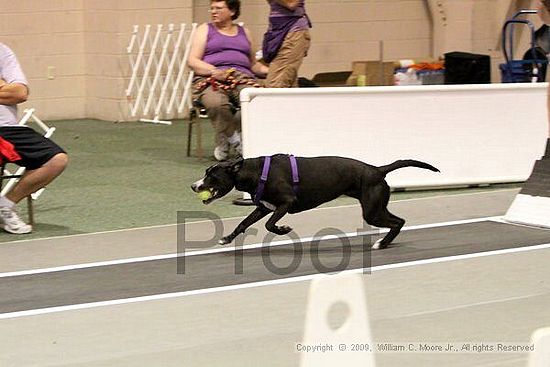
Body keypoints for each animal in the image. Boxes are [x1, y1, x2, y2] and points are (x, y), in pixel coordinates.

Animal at [192, 155, 442, 250]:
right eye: (205, 173)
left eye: (212, 176)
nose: (194, 186)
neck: (254, 171)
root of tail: (377, 169)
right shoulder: (263, 207)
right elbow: (243, 224)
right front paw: (226, 238)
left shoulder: (285, 203)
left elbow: (270, 225)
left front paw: (284, 229)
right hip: (377, 206)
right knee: (398, 221)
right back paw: (384, 242)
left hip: (371, 210)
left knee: (398, 222)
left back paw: (382, 243)